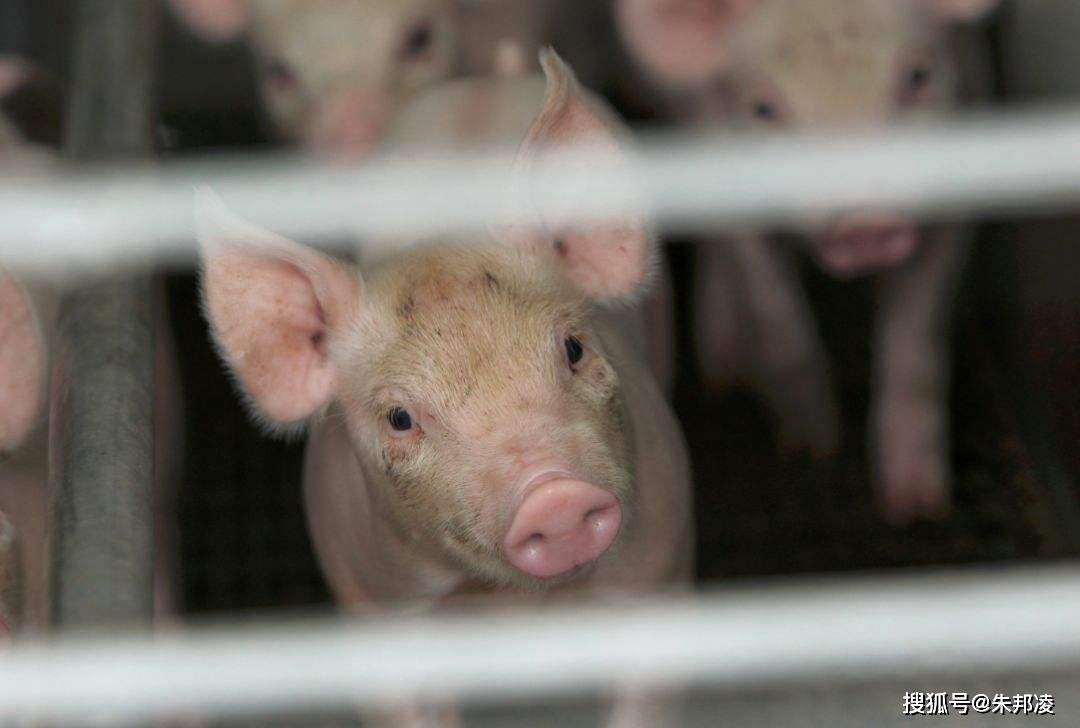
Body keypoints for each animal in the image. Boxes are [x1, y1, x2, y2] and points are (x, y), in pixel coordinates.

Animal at [617, 0, 1002, 522]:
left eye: (919, 76)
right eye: (764, 108)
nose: (866, 222)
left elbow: (918, 346)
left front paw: (917, 508)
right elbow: (779, 321)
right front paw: (811, 448)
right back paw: (726, 371)